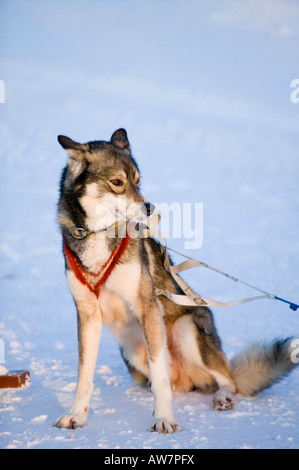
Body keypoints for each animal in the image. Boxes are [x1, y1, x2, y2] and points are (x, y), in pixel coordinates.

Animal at [55, 127, 298, 434]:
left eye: (138, 180)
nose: (150, 208)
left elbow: (160, 379)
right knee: (178, 383)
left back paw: (222, 396)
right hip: (132, 350)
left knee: (227, 381)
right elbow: (84, 376)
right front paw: (77, 414)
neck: (99, 236)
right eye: (117, 182)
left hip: (185, 331)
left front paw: (163, 418)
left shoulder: (148, 309)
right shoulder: (87, 314)